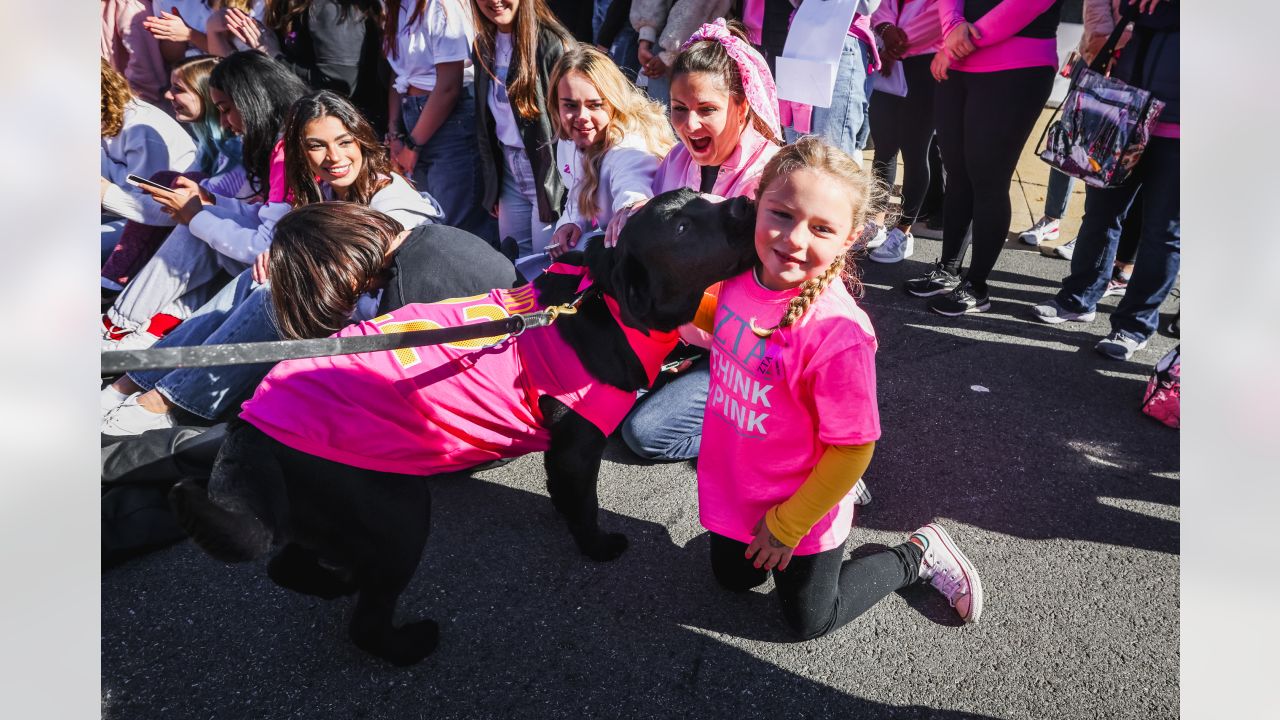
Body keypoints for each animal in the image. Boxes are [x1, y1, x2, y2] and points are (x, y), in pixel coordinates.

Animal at [165, 189, 752, 661]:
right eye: (682, 228)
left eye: (706, 196)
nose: (746, 204)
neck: (604, 306)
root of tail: (249, 423)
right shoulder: (577, 447)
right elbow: (583, 505)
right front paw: (597, 545)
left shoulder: (562, 453)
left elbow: (565, 494)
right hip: (395, 511)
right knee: (364, 619)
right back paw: (407, 644)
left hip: (324, 509)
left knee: (285, 564)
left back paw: (335, 583)